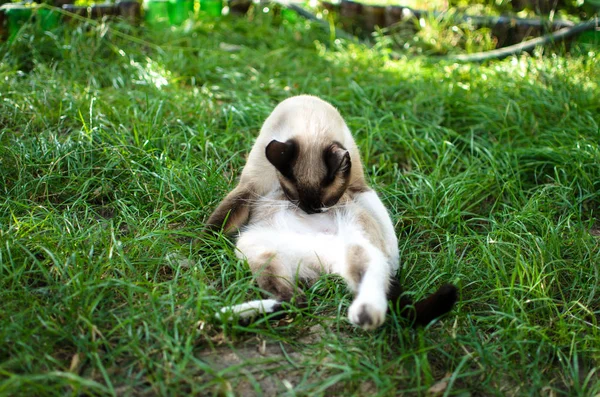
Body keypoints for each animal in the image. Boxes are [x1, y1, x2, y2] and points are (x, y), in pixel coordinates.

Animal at [204, 95, 458, 328]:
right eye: (294, 199)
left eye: (327, 204)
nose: (310, 213)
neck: (308, 115)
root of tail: (321, 255)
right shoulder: (249, 188)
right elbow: (217, 222)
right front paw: (202, 253)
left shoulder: (358, 187)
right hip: (259, 253)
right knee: (294, 301)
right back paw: (227, 315)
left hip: (353, 245)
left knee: (374, 268)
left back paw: (365, 314)